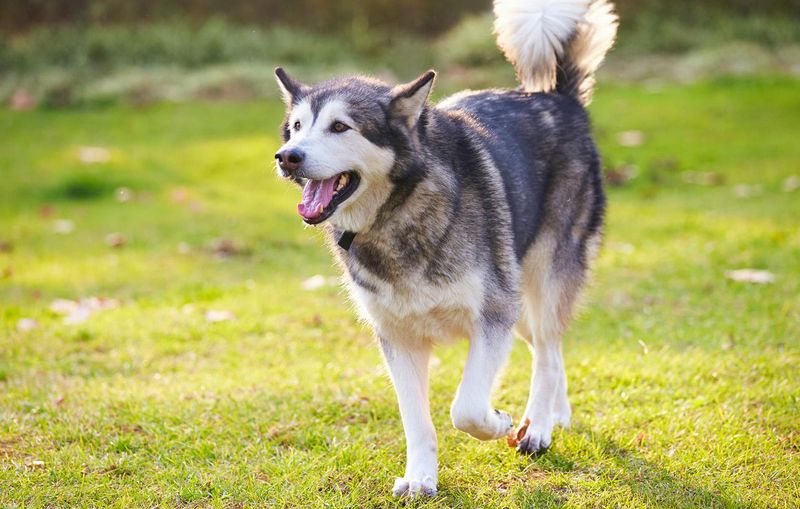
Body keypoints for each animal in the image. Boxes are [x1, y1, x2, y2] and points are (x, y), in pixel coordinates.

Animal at [272, 0, 616, 494]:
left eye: (340, 127)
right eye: (297, 128)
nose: (287, 157)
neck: (396, 214)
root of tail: (557, 98)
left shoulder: (492, 317)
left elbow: (466, 408)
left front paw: (499, 421)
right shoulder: (399, 338)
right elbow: (418, 422)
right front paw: (420, 479)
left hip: (540, 281)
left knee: (548, 353)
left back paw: (539, 426)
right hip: (520, 301)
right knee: (545, 348)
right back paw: (557, 413)